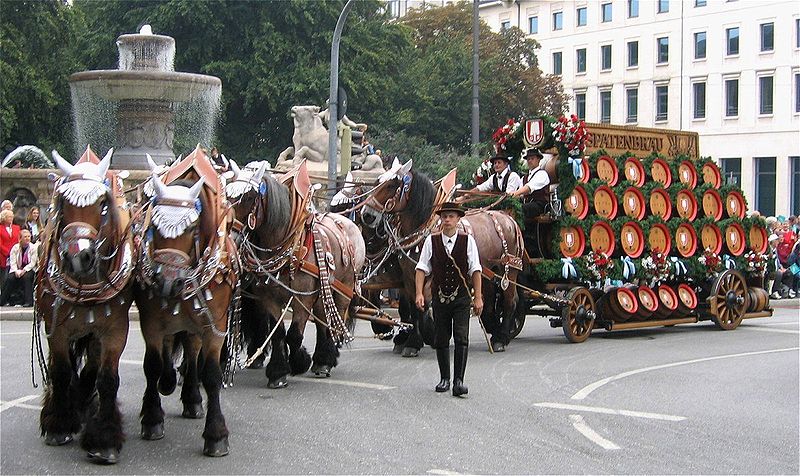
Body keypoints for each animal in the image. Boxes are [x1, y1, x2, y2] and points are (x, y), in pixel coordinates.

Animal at [35, 146, 136, 464]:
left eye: (103, 205)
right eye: (62, 204)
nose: (79, 256)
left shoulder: (115, 328)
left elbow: (106, 378)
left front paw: (104, 439)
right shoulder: (56, 327)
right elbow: (60, 371)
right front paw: (58, 424)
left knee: (91, 368)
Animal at [134, 147, 238, 456]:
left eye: (192, 228)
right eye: (154, 225)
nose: (168, 281)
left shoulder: (215, 324)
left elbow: (212, 374)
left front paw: (216, 434)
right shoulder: (151, 321)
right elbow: (152, 365)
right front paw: (152, 417)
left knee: (192, 351)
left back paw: (192, 396)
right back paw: (170, 382)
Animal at [228, 162, 366, 388]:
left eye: (248, 197)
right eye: (226, 195)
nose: (230, 236)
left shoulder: (303, 297)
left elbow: (294, 334)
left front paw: (298, 362)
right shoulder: (268, 298)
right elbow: (278, 334)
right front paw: (278, 372)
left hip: (343, 288)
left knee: (334, 318)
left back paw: (325, 360)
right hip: (323, 290)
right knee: (322, 320)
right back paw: (322, 359)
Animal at [360, 159, 524, 354]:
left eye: (391, 185)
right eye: (377, 182)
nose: (367, 215)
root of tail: (508, 218)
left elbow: (423, 306)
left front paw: (425, 336)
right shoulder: (408, 276)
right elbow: (413, 307)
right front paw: (412, 341)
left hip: (509, 269)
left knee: (510, 301)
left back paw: (501, 338)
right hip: (488, 272)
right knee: (489, 302)